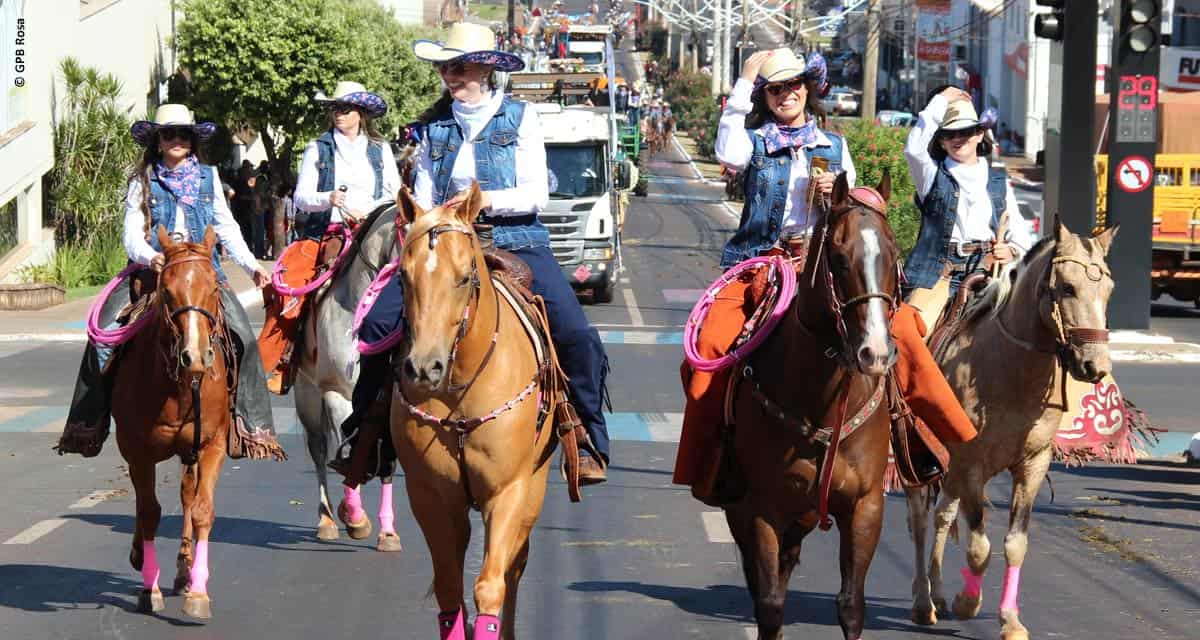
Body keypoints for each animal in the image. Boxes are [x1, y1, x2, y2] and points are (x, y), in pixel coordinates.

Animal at [114, 225, 238, 619]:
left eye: (213, 288)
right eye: (167, 292)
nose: (194, 357)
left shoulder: (211, 444)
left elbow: (201, 509)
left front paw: (198, 592)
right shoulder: (139, 452)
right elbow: (149, 512)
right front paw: (148, 587)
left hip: (190, 450)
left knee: (186, 494)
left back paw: (185, 572)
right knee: (145, 505)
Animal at [292, 200, 405, 545]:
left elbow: (386, 459)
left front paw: (387, 532)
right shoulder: (336, 393)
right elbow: (348, 447)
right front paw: (354, 516)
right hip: (307, 396)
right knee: (318, 450)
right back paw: (327, 519)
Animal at [393, 181, 561, 638]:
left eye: (465, 277)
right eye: (402, 277)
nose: (424, 368)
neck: (461, 388)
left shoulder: (507, 492)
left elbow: (490, 585)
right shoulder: (429, 495)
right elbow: (449, 586)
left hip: (533, 491)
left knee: (515, 566)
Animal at [720, 172, 902, 638]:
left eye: (893, 255)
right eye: (838, 257)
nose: (875, 353)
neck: (822, 403)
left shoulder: (865, 506)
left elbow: (851, 605)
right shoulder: (762, 509)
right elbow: (769, 605)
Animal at [902, 220, 1118, 638]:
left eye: (1109, 289)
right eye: (1067, 287)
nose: (1095, 365)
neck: (1008, 366)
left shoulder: (1032, 464)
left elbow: (1015, 544)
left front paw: (1011, 620)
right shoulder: (971, 463)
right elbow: (979, 547)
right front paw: (968, 603)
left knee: (942, 515)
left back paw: (937, 594)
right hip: (918, 455)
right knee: (919, 518)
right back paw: (922, 601)